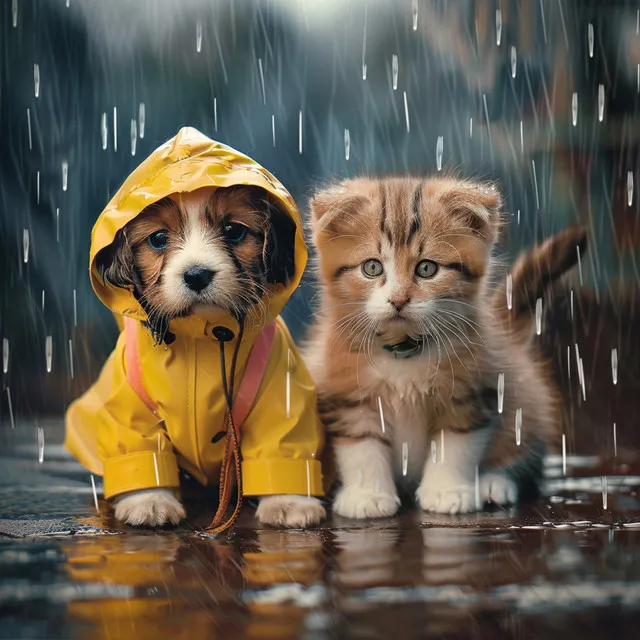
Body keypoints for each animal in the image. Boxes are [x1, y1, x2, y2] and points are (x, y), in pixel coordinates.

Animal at [304, 178, 584, 516]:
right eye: (372, 268)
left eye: (427, 269)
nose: (398, 300)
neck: (404, 352)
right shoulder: (345, 392)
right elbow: (362, 447)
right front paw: (367, 495)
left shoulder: (472, 390)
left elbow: (455, 444)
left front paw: (447, 491)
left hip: (526, 400)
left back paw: (493, 483)